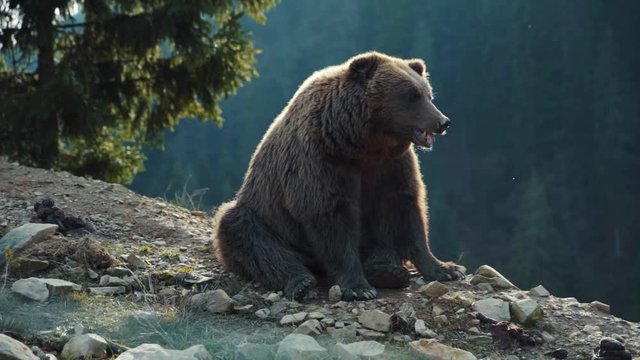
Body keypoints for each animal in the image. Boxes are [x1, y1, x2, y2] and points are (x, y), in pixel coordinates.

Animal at [215, 50, 464, 300]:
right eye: (412, 96)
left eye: (429, 95)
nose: (443, 122)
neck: (362, 142)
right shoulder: (321, 160)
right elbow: (331, 215)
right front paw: (358, 287)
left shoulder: (390, 165)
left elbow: (404, 207)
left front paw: (446, 268)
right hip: (267, 218)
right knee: (246, 234)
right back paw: (300, 281)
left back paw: (389, 272)